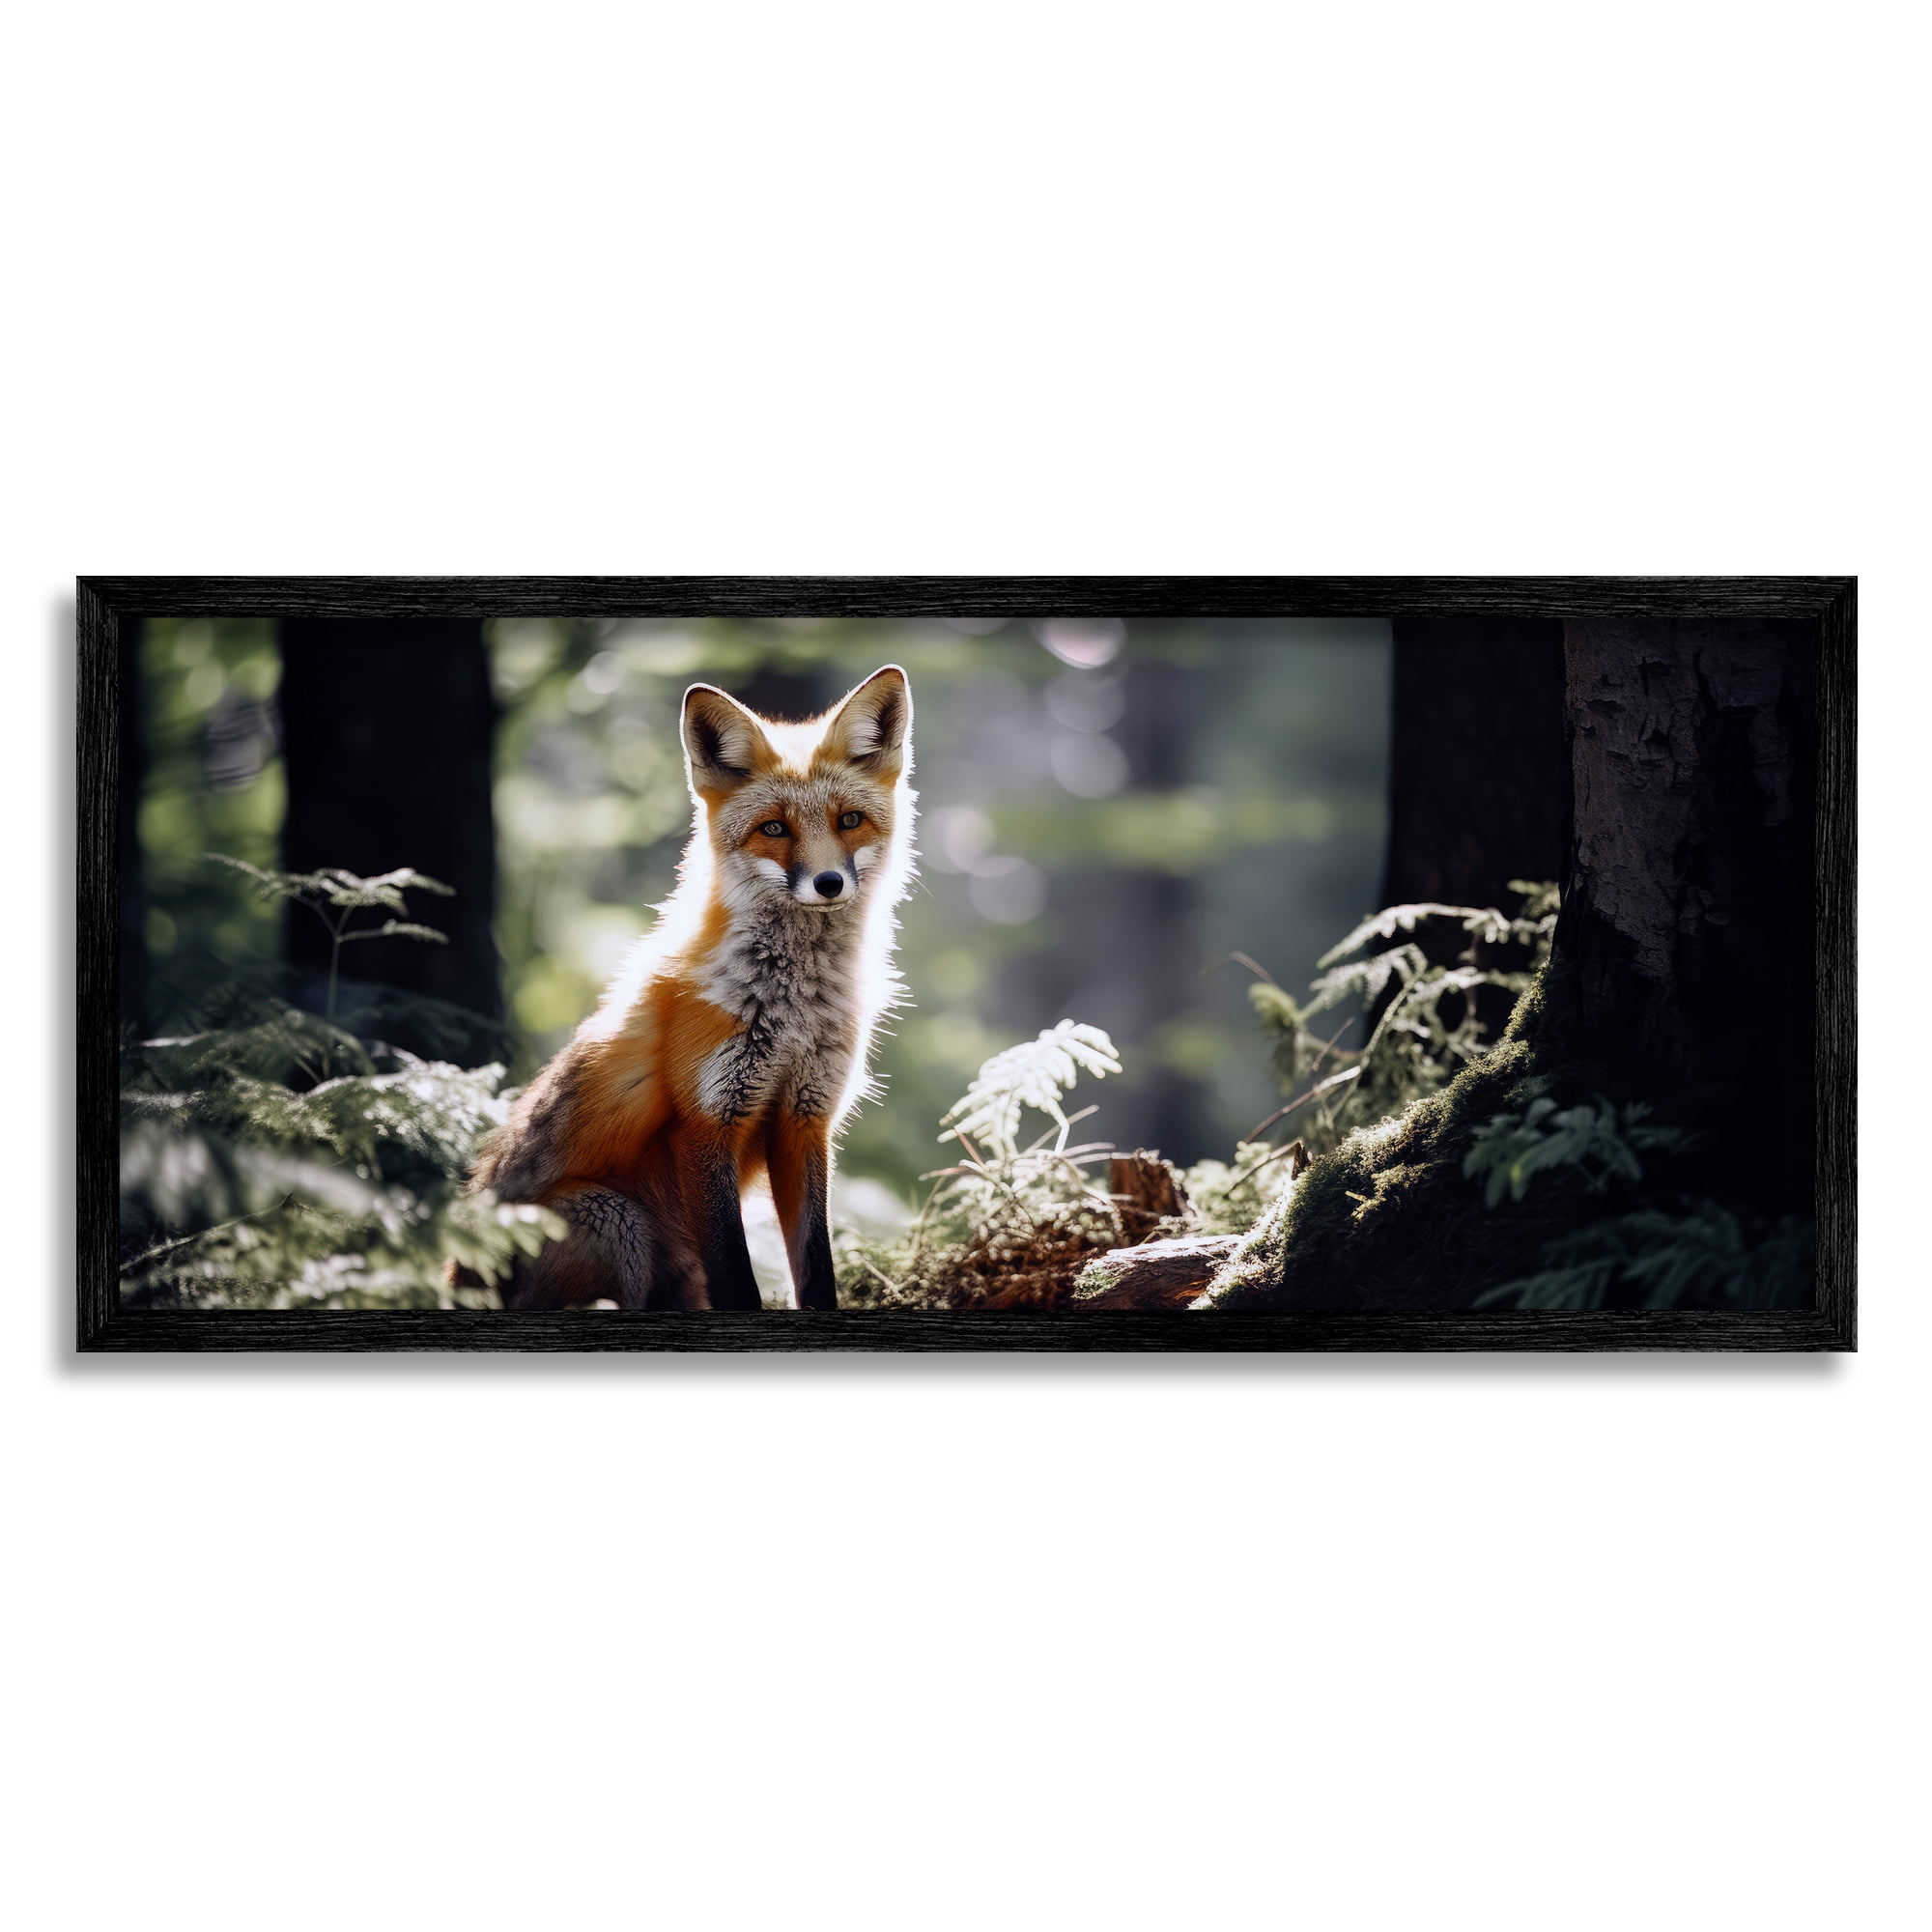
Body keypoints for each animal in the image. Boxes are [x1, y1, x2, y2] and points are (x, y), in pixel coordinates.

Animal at [456, 664, 915, 1311]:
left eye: (849, 820)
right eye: (774, 828)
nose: (829, 883)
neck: (793, 1010)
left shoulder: (805, 1121)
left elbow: (816, 1269)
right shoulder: (706, 1122)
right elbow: (738, 1279)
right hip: (609, 1217)